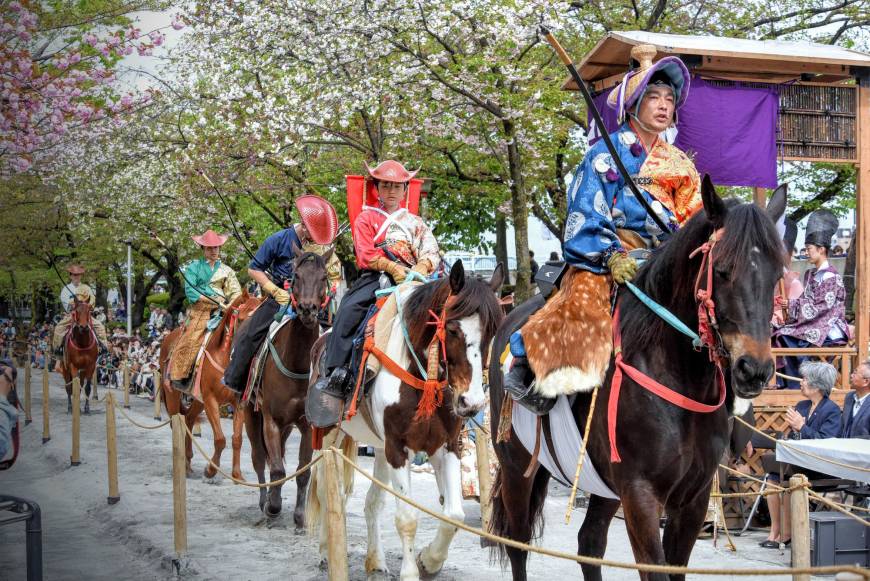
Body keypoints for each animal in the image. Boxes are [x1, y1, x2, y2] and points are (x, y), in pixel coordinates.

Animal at [159, 288, 262, 476]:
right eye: (241, 319)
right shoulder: (210, 400)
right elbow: (220, 439)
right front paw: (211, 470)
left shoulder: (238, 403)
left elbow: (237, 439)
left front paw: (237, 475)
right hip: (172, 393)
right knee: (176, 424)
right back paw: (181, 464)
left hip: (198, 399)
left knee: (189, 419)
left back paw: (188, 462)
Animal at [310, 262, 508, 580]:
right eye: (452, 329)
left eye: (491, 330)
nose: (472, 403)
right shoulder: (398, 448)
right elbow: (406, 518)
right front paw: (411, 572)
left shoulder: (445, 445)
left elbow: (453, 514)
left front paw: (429, 561)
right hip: (327, 436)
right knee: (326, 491)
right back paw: (327, 552)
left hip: (378, 449)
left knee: (372, 502)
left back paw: (376, 561)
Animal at [490, 178, 792, 580]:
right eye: (724, 270)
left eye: (777, 276)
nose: (753, 369)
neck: (678, 376)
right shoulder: (640, 495)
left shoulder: (692, 500)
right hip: (515, 465)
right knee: (518, 541)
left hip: (601, 482)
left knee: (589, 542)